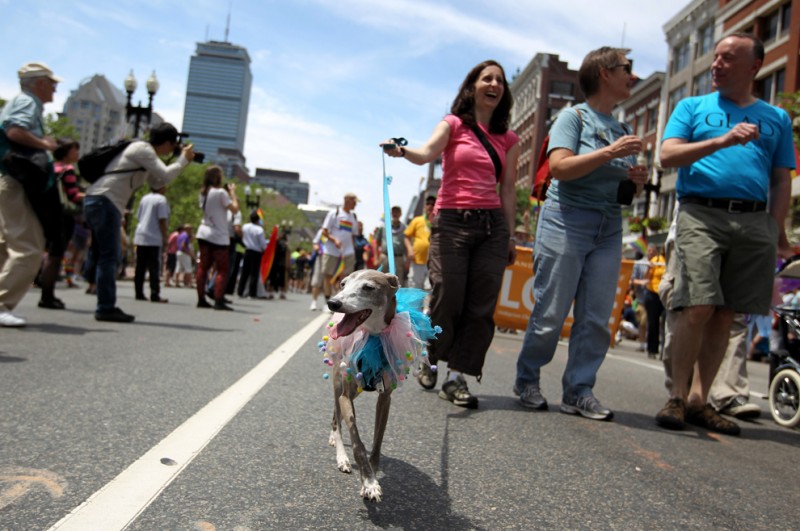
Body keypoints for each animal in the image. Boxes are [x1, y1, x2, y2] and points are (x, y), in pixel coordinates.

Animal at [324, 270, 440, 502]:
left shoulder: (385, 398)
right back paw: (341, 456)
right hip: (339, 383)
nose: (333, 302)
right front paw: (369, 482)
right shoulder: (346, 396)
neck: (374, 338)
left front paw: (372, 473)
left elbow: (377, 442)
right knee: (338, 418)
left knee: (336, 414)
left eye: (368, 287)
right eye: (343, 284)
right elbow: (357, 441)